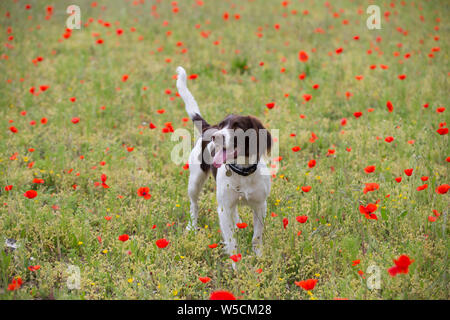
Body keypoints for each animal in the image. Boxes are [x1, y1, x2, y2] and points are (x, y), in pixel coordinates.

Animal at [177, 66, 272, 258]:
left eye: (237, 127)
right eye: (222, 126)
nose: (216, 136)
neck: (242, 171)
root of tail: (208, 127)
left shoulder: (260, 205)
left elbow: (256, 237)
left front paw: (258, 256)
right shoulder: (223, 209)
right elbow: (231, 241)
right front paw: (237, 263)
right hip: (195, 181)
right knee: (194, 205)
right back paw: (192, 227)